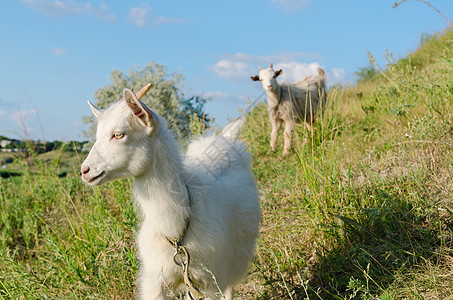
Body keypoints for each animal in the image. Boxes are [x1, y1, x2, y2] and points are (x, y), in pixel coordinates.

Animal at [79, 85, 260, 298]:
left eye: (119, 134)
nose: (85, 170)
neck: (175, 232)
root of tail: (224, 139)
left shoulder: (210, 281)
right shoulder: (156, 279)